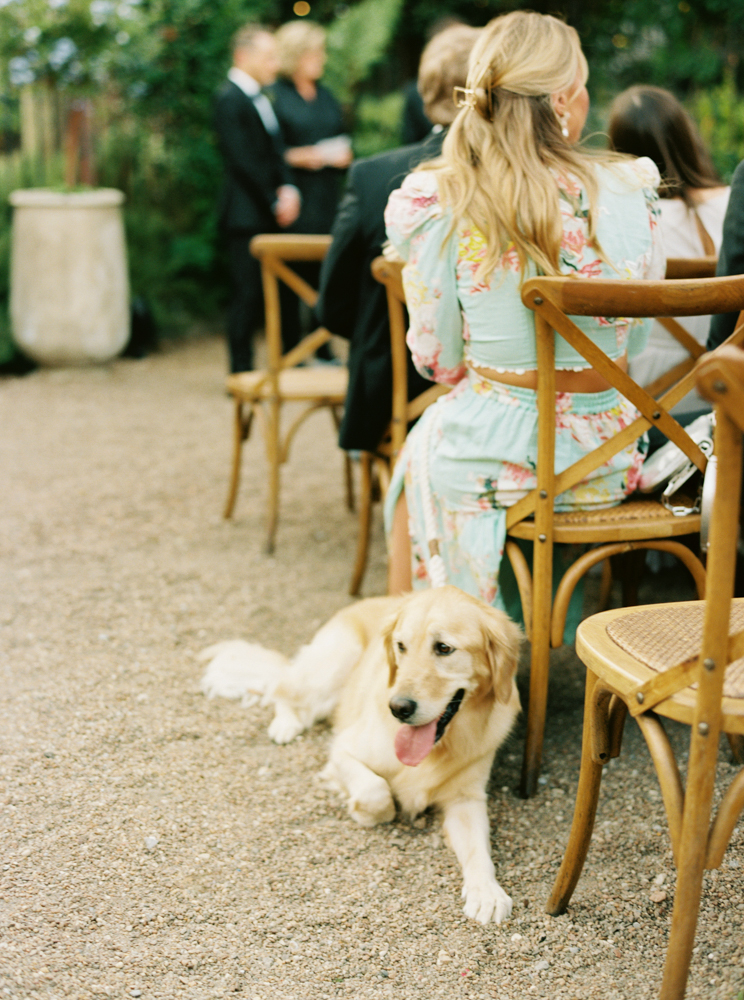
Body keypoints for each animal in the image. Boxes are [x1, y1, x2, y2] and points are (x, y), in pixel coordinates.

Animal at [201, 588, 520, 924]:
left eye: (444, 648)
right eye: (401, 646)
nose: (398, 708)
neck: (439, 745)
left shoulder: (466, 798)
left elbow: (479, 849)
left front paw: (487, 892)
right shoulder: (343, 749)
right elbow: (376, 793)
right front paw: (366, 811)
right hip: (333, 663)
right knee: (284, 691)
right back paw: (285, 724)